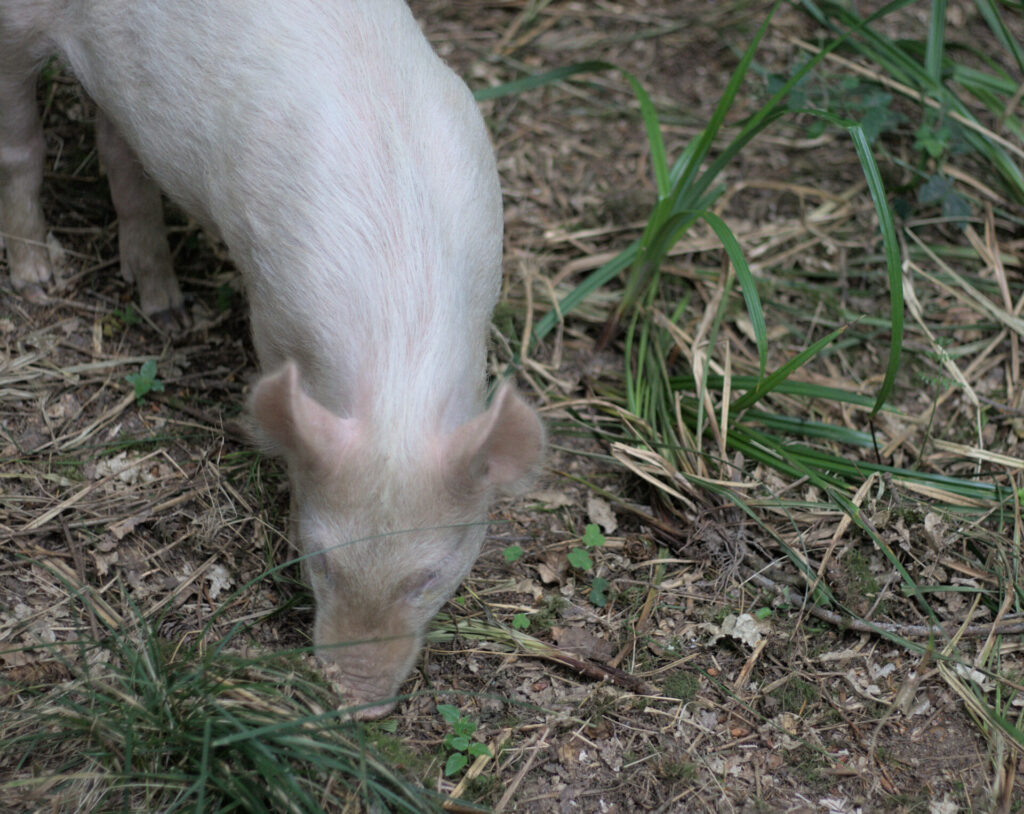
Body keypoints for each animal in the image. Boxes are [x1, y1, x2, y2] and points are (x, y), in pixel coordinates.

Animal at [0, 0, 544, 718]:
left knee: (122, 156)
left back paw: (168, 312)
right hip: (15, 32)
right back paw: (40, 280)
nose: (356, 702)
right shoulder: (269, 303)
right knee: (21, 151)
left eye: (428, 577)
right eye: (320, 561)